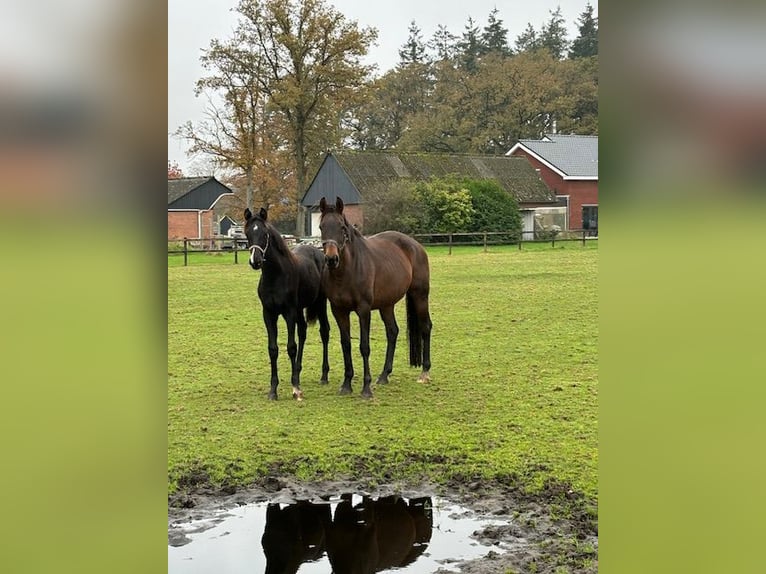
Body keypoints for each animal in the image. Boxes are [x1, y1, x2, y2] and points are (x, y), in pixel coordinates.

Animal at [246, 207, 330, 400]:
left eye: (265, 234)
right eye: (248, 233)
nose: (256, 261)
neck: (275, 276)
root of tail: (318, 252)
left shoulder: (289, 312)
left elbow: (291, 347)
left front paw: (296, 389)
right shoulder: (269, 314)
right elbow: (273, 349)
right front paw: (273, 390)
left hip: (320, 303)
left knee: (324, 332)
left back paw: (323, 375)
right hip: (300, 309)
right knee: (303, 332)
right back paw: (297, 371)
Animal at [318, 196, 432, 398]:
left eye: (342, 227)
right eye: (322, 227)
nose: (331, 259)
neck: (346, 272)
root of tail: (416, 246)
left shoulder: (364, 310)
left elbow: (364, 347)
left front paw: (366, 388)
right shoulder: (339, 311)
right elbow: (346, 344)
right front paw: (346, 384)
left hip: (420, 295)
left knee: (426, 327)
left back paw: (425, 372)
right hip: (387, 305)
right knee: (393, 332)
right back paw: (384, 375)